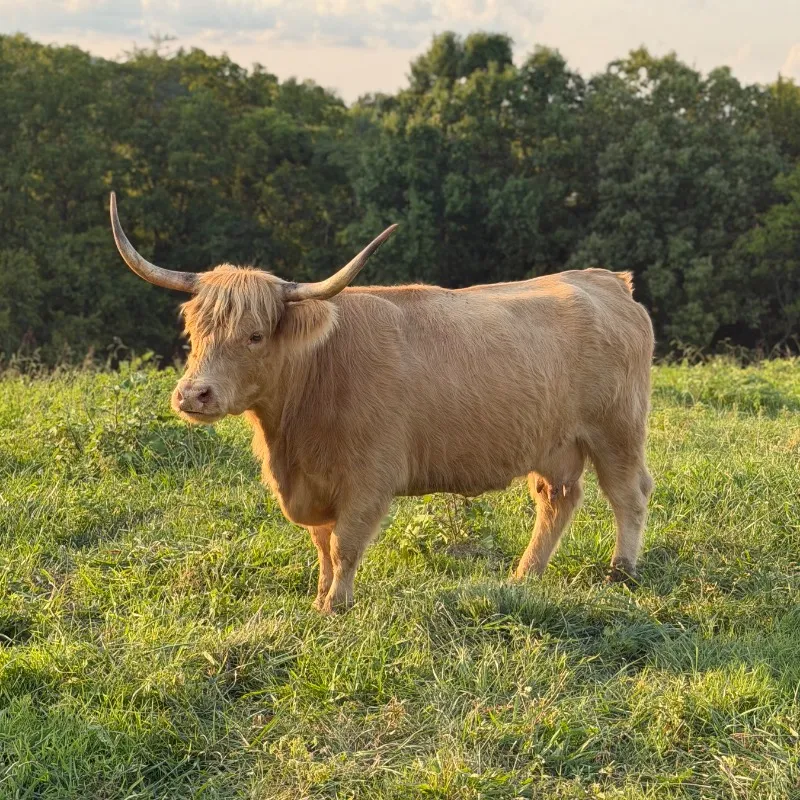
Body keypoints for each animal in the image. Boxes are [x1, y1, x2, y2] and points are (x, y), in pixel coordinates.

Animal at [109, 192, 654, 613]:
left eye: (255, 336)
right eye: (194, 329)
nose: (193, 394)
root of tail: (605, 280)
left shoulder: (368, 479)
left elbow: (345, 546)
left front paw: (336, 606)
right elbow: (322, 546)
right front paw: (319, 599)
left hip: (617, 431)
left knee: (628, 494)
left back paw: (620, 572)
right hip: (554, 444)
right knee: (558, 499)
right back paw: (524, 577)